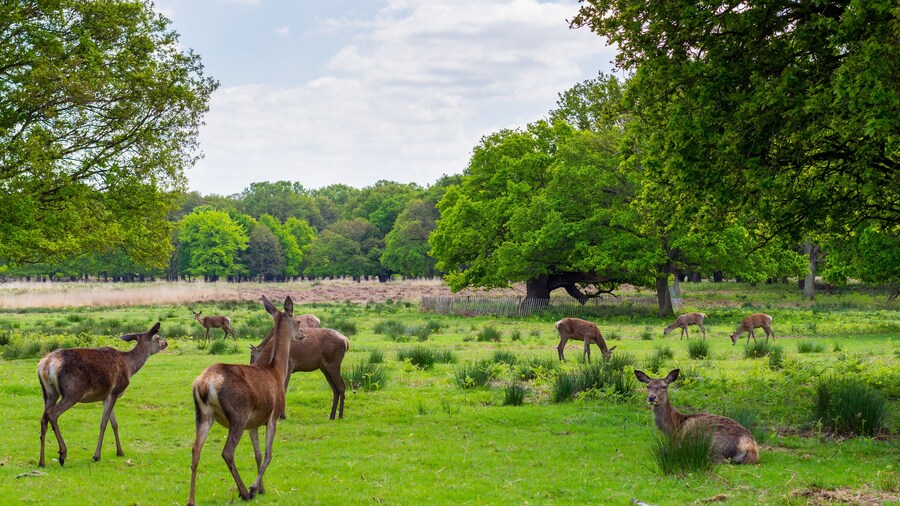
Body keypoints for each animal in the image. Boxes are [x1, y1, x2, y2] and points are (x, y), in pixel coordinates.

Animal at [38, 322, 167, 467]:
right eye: (157, 337)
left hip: (49, 393)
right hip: (73, 392)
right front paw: (96, 455)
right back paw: (62, 453)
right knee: (52, 414)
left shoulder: (105, 397)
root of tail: (46, 365)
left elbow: (114, 424)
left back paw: (41, 462)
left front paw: (120, 452)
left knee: (43, 419)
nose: (166, 343)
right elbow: (103, 423)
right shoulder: (114, 392)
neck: (129, 367)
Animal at [188, 296, 302, 506]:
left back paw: (191, 500)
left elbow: (257, 454)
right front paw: (254, 487)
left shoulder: (253, 423)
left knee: (195, 450)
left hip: (203, 415)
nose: (302, 335)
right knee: (227, 452)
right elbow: (268, 454)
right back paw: (243, 492)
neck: (276, 371)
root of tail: (205, 384)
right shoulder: (273, 416)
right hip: (237, 415)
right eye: (298, 321)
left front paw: (262, 488)